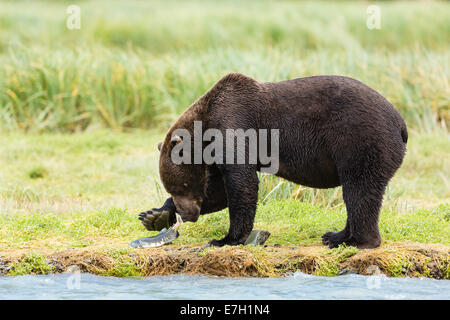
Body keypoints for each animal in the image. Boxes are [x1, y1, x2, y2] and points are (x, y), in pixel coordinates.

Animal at [138, 73, 408, 250]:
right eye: (171, 187)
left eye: (182, 185)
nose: (188, 214)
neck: (206, 131)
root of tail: (401, 123)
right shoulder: (214, 159)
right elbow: (218, 191)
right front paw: (154, 215)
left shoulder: (234, 127)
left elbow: (241, 184)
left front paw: (225, 239)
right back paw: (335, 236)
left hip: (360, 141)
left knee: (359, 190)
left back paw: (355, 241)